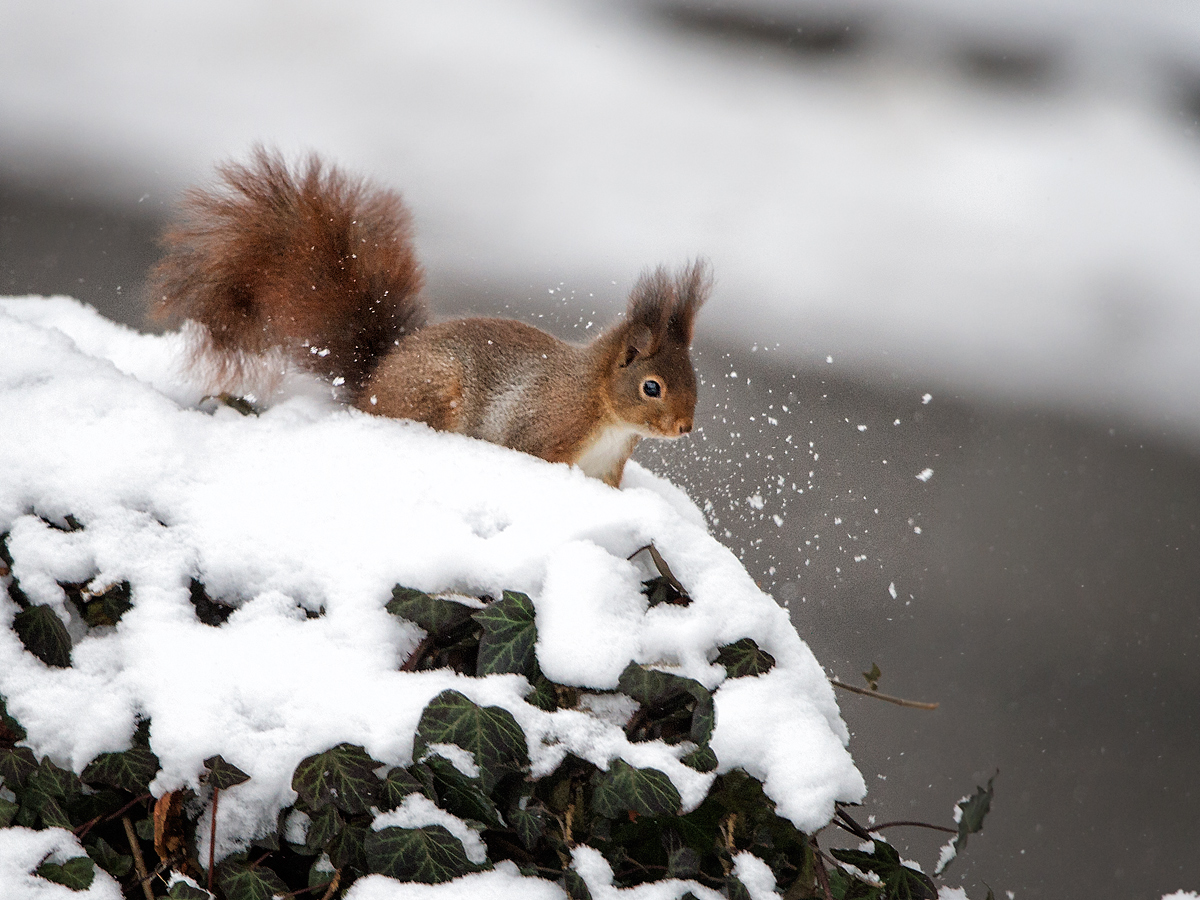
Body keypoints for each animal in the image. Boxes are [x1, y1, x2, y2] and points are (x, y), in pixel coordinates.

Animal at [152, 148, 710, 487]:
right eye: (652, 387)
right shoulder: (544, 431)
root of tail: (374, 382)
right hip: (437, 388)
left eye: (693, 378)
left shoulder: (605, 470)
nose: (685, 428)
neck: (601, 406)